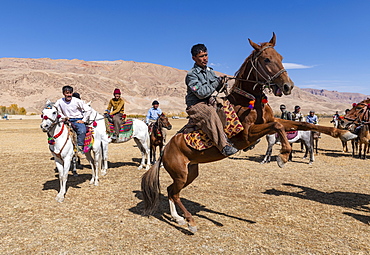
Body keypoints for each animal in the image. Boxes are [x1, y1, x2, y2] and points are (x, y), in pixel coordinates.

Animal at [141, 32, 356, 233]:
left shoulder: (272, 121)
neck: (247, 100)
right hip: (181, 174)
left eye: (281, 56)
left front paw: (343, 132)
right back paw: (190, 222)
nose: (288, 86)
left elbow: (304, 125)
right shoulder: (246, 135)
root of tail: (164, 151)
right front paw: (283, 156)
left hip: (190, 172)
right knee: (174, 193)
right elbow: (278, 128)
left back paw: (178, 219)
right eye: (266, 59)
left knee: (171, 191)